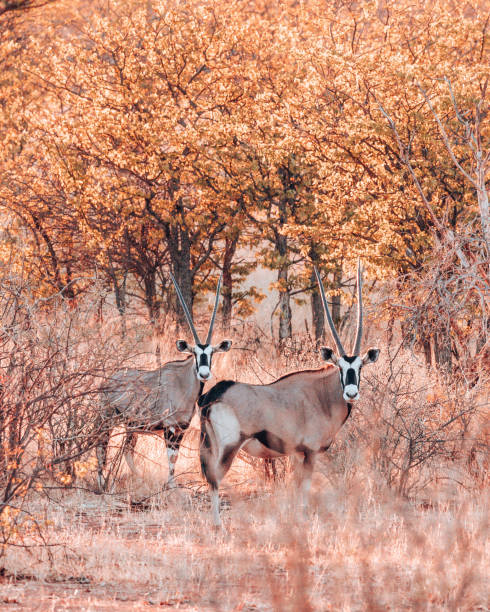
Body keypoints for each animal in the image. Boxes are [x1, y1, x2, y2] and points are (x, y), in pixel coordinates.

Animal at [98, 274, 234, 490]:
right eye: (194, 353)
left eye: (212, 353)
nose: (204, 374)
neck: (183, 386)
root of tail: (107, 381)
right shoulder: (169, 427)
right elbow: (171, 456)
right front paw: (170, 485)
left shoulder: (182, 427)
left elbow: (175, 456)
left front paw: (172, 483)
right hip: (106, 420)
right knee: (101, 447)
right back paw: (101, 482)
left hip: (131, 426)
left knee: (127, 450)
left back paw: (138, 478)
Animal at [198, 260, 378, 524]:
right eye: (341, 367)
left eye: (360, 367)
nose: (351, 394)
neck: (322, 396)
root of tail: (214, 394)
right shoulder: (310, 452)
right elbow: (305, 488)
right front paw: (303, 519)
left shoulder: (295, 453)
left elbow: (294, 487)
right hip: (229, 446)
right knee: (214, 479)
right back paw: (217, 524)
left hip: (210, 444)